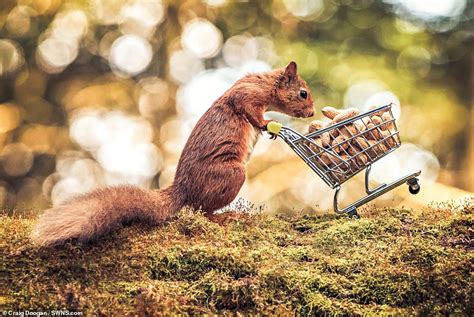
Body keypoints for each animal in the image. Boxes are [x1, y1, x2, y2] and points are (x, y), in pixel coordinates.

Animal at [32, 61, 314, 244]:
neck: (266, 84)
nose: (312, 113)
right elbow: (249, 110)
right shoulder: (247, 94)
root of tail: (183, 188)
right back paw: (226, 216)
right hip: (231, 174)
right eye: (303, 93)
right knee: (202, 210)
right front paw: (268, 124)